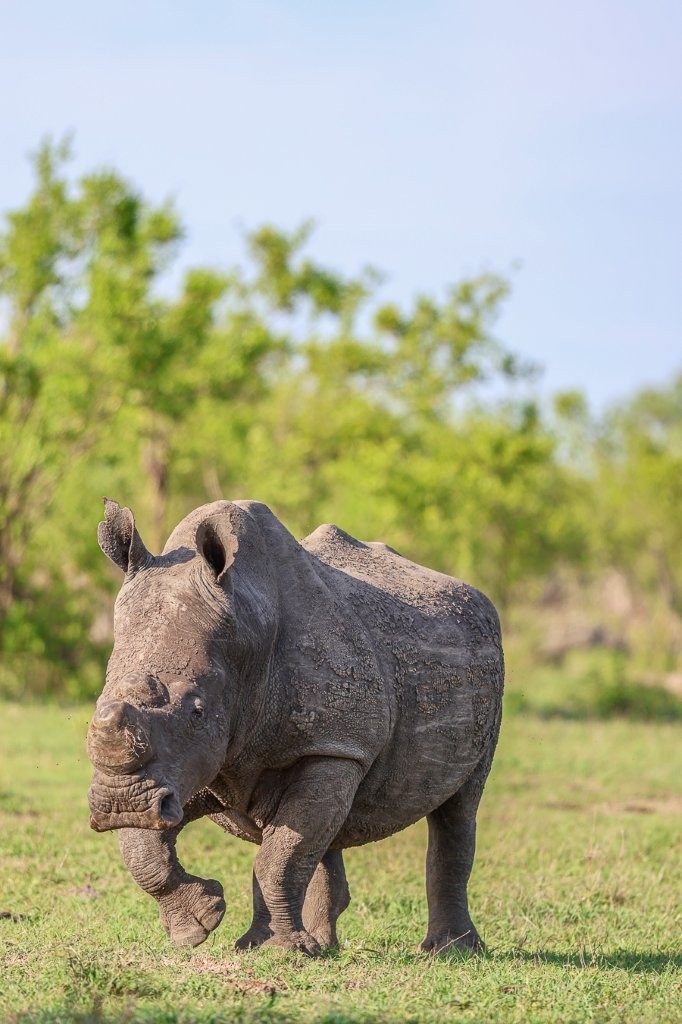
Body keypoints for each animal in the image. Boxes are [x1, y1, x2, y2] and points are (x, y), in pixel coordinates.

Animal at [87, 498, 503, 956]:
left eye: (197, 710)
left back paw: (450, 952)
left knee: (458, 809)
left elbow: (279, 856)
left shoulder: (332, 744)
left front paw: (274, 950)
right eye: (98, 703)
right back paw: (325, 946)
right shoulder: (193, 764)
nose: (121, 803)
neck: (248, 628)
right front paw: (199, 924)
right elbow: (141, 845)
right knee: (323, 831)